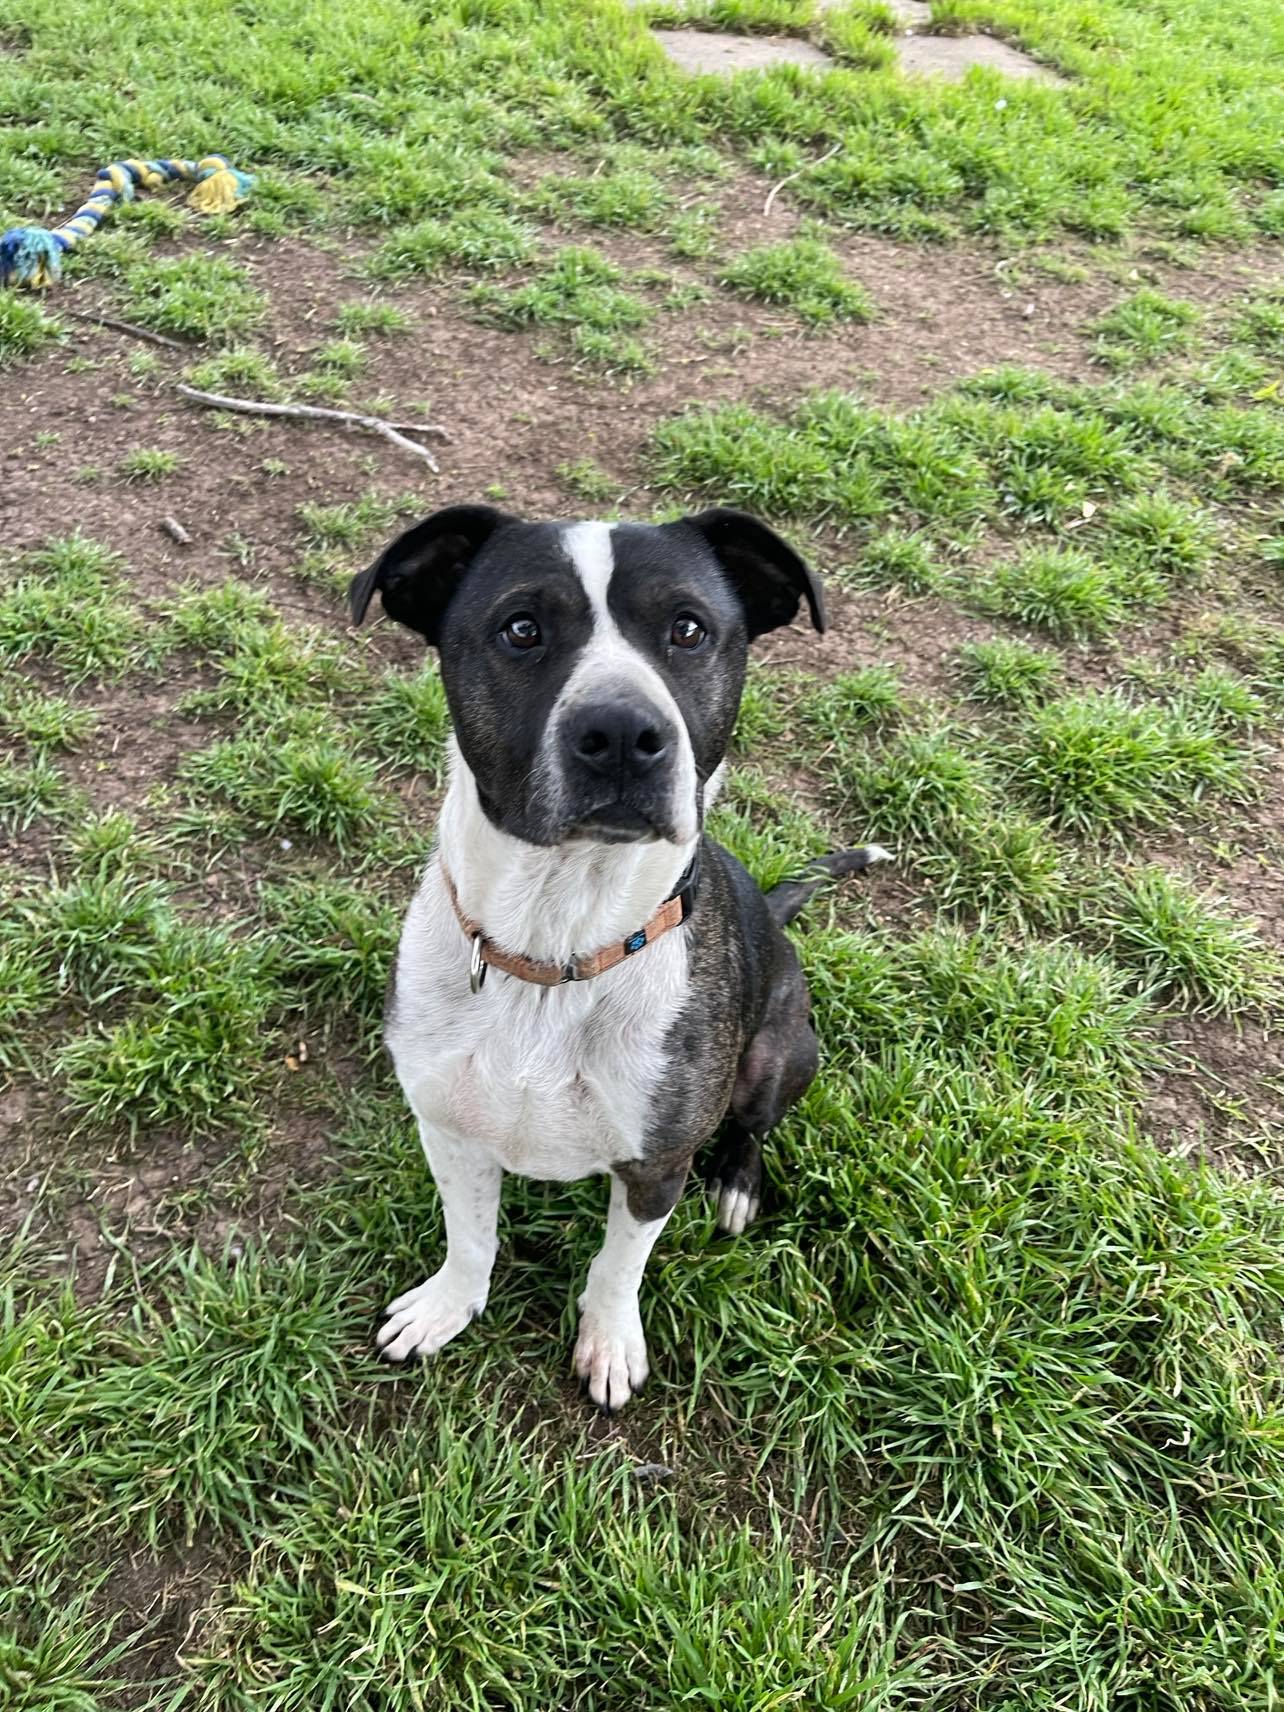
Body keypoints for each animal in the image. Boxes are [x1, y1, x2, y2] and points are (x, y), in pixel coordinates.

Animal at [352, 499, 897, 1410]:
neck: (559, 943)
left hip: (781, 1053)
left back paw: (738, 1186)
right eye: (522, 628)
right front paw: (446, 1309)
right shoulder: (449, 1132)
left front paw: (608, 1344)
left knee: (753, 1126)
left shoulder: (657, 1165)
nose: (619, 731)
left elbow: (617, 1267)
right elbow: (471, 1237)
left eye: (689, 629)